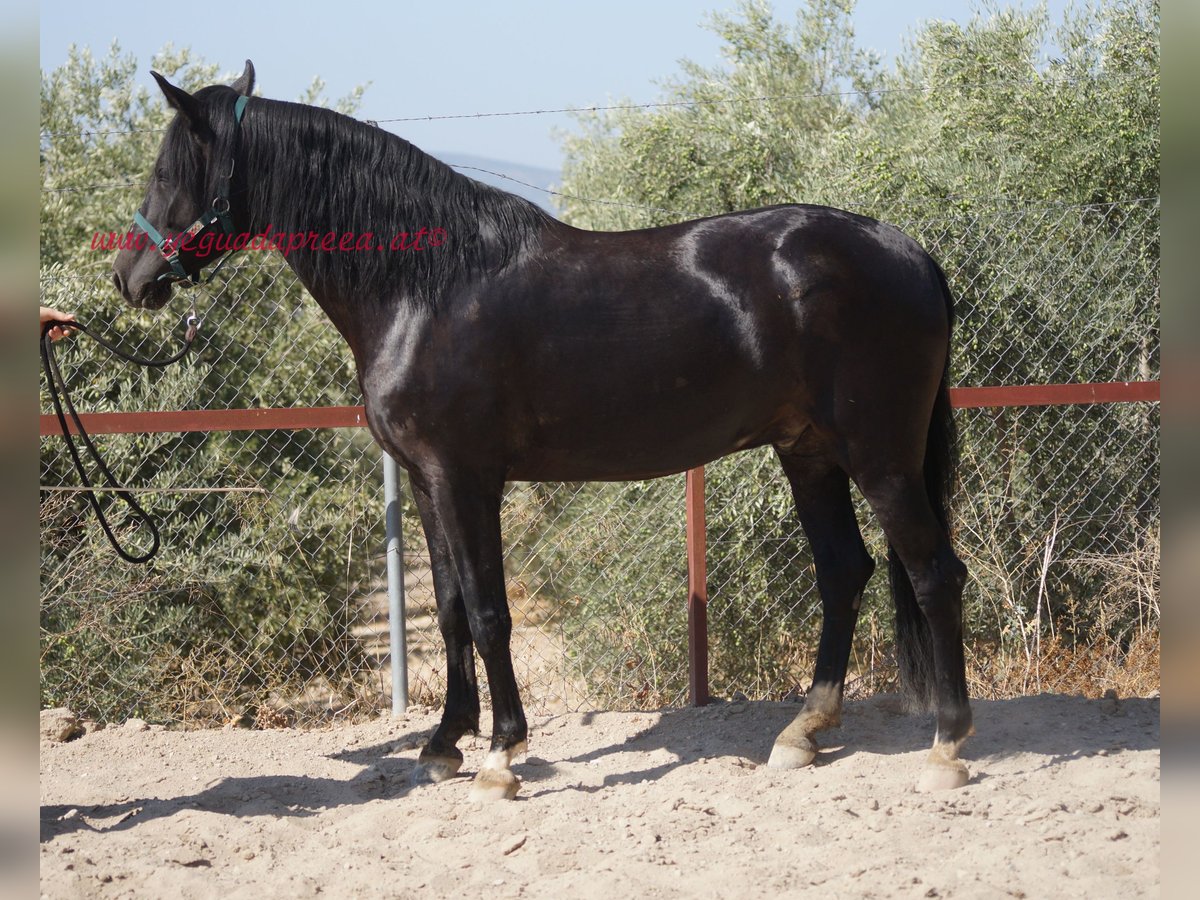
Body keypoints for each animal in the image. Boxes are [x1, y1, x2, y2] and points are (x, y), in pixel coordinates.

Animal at [112, 61, 974, 796]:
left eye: (165, 174)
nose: (129, 279)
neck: (429, 288)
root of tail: (908, 250)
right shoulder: (425, 481)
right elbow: (452, 610)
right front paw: (443, 745)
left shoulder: (465, 478)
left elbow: (490, 612)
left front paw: (501, 756)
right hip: (809, 453)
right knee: (845, 572)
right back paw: (805, 731)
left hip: (881, 457)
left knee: (934, 573)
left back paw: (947, 747)